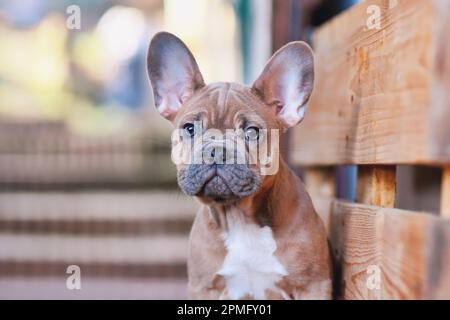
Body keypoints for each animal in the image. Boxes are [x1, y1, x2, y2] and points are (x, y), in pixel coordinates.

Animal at [147, 31, 330, 298]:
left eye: (252, 132)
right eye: (190, 128)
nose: (216, 151)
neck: (239, 218)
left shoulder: (312, 285)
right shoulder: (203, 287)